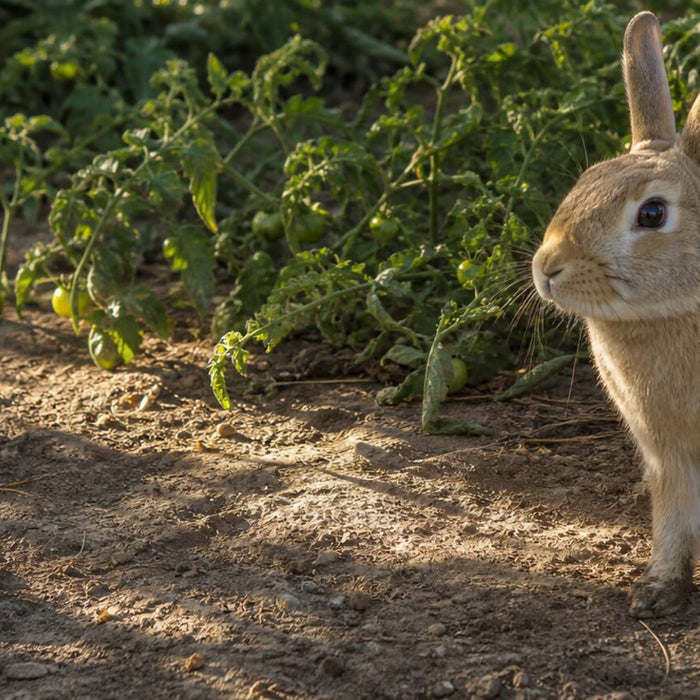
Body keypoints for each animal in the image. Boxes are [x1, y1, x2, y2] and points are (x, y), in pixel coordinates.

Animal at [531, 11, 700, 618]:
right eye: (583, 181)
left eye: (652, 214)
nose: (547, 267)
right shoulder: (666, 453)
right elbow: (673, 518)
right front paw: (658, 592)